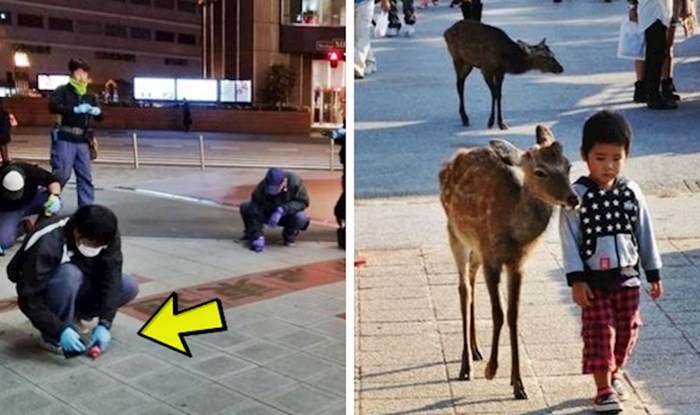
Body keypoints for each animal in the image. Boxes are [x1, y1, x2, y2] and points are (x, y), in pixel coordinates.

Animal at [438, 126, 580, 400]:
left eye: (568, 165)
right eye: (540, 171)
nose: (573, 198)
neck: (514, 235)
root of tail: (449, 162)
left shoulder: (517, 263)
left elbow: (514, 314)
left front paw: (519, 385)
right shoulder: (492, 258)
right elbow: (498, 313)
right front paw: (492, 370)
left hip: (476, 248)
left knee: (471, 279)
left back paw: (475, 350)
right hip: (455, 232)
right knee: (464, 289)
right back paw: (466, 366)